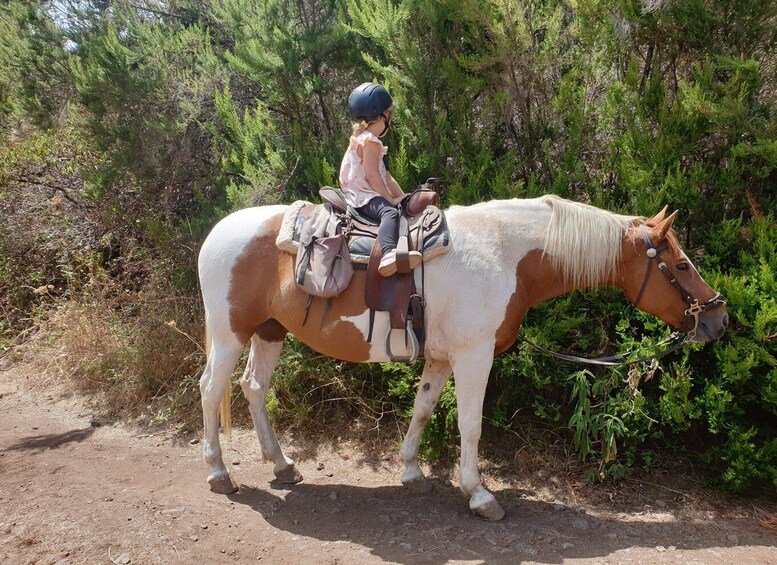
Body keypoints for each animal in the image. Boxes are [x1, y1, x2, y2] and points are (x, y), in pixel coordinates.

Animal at [196, 195, 728, 520]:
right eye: (682, 265)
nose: (718, 319)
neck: (506, 254)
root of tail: (217, 232)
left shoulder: (442, 358)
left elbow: (423, 409)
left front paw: (412, 473)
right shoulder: (474, 357)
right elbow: (469, 425)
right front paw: (479, 494)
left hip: (269, 332)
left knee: (253, 388)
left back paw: (282, 465)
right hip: (230, 334)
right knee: (210, 389)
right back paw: (219, 474)